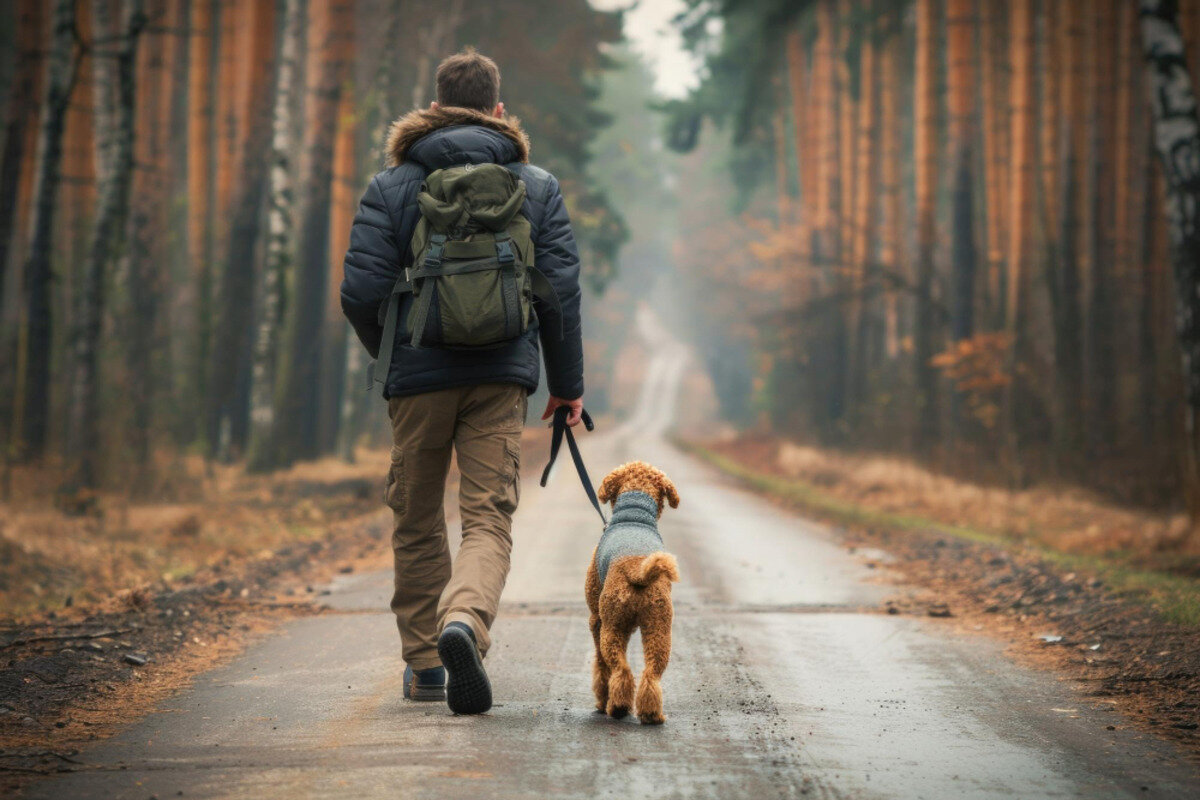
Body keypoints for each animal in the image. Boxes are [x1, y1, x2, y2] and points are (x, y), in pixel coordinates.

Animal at [585, 460, 681, 724]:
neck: (634, 517)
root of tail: (638, 570)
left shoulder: (596, 620)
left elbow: (600, 666)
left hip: (612, 627)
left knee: (619, 670)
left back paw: (615, 707)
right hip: (659, 628)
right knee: (651, 674)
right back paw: (652, 714)